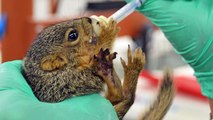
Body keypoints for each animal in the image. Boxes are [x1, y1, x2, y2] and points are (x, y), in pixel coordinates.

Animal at [22, 16, 175, 120]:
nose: (88, 19)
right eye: (73, 35)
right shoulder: (72, 80)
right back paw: (123, 68)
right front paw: (107, 33)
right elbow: (98, 49)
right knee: (126, 97)